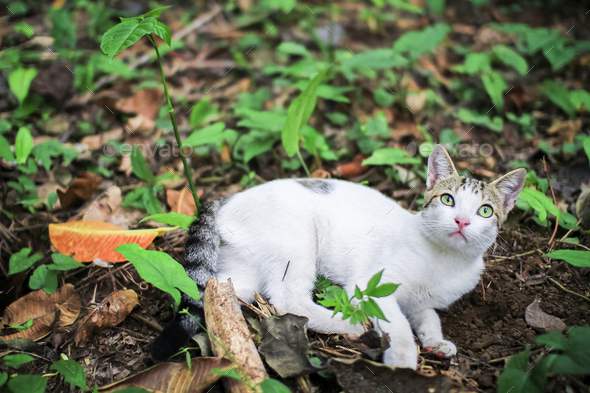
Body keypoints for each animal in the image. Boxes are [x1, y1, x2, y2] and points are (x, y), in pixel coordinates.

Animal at [151, 143, 528, 368]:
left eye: (484, 211)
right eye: (448, 200)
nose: (462, 221)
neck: (444, 260)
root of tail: (225, 199)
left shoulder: (422, 303)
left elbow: (429, 317)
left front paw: (436, 342)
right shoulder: (371, 286)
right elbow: (398, 323)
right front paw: (404, 356)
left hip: (241, 269)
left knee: (214, 290)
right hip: (297, 239)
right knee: (287, 299)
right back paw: (350, 324)